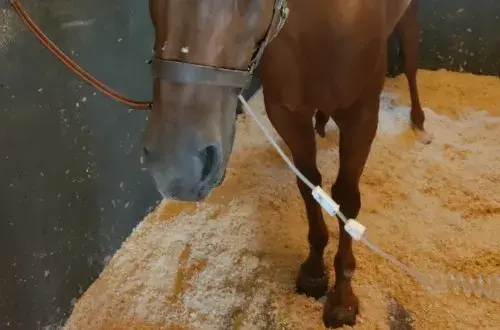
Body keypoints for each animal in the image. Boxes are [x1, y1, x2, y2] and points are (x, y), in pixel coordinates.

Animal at [143, 0, 432, 328]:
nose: (175, 167)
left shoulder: (361, 117)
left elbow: (346, 200)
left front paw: (342, 299)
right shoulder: (286, 113)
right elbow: (310, 186)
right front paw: (314, 272)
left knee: (411, 62)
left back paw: (419, 124)